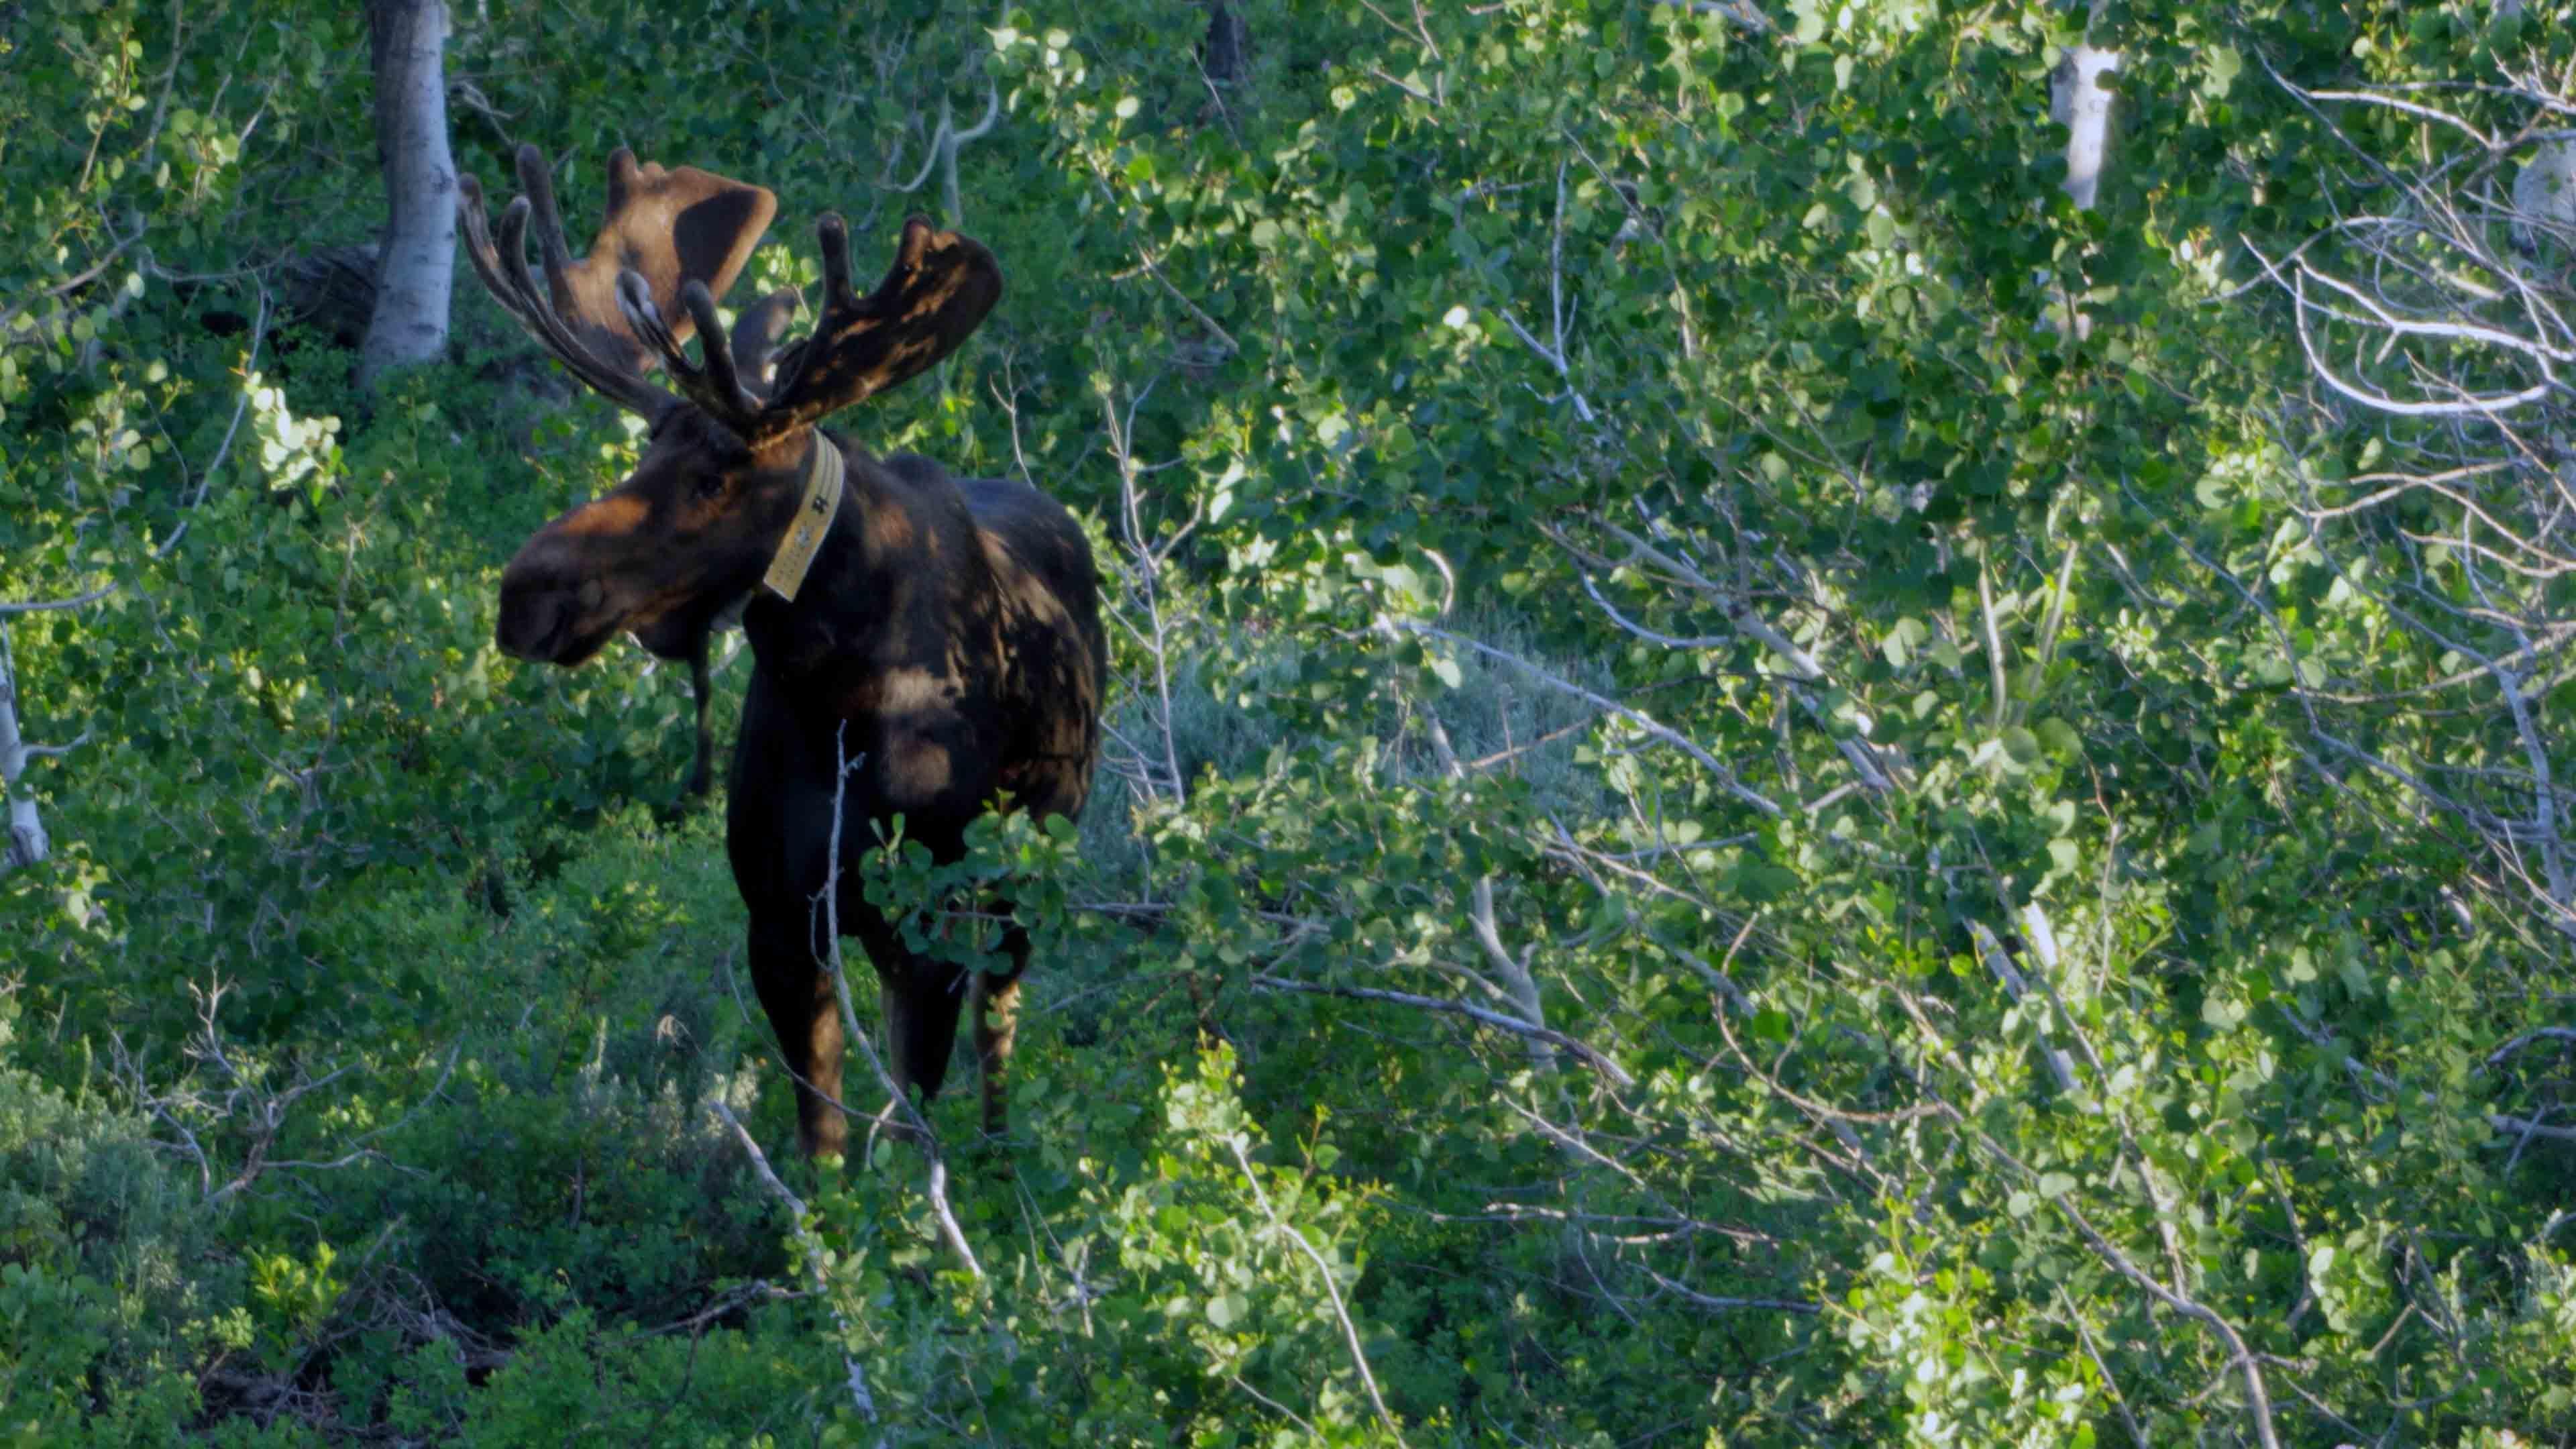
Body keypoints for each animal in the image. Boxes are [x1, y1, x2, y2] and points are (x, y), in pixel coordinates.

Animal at [458, 147, 1102, 1155]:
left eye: (713, 477)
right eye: (642, 452)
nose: (525, 592)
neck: (837, 687)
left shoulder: (927, 916)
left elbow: (909, 1132)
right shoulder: (781, 919)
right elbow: (824, 1144)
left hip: (1024, 880)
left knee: (999, 1036)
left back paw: (1002, 1165)